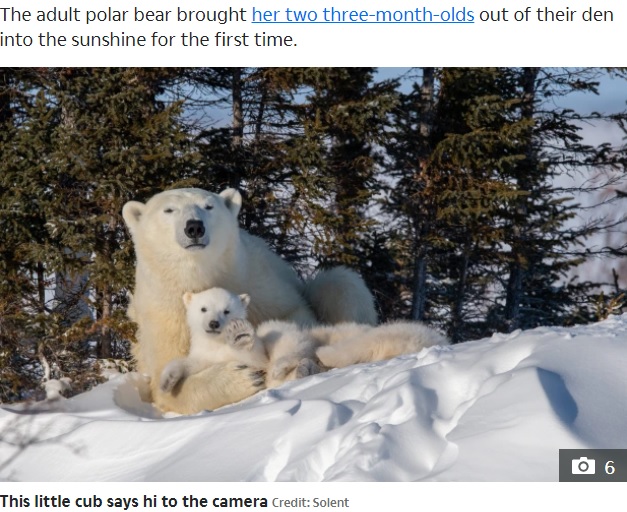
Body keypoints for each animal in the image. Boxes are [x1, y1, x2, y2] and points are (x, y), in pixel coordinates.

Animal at [123, 186, 378, 414]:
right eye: (169, 210)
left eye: (208, 206)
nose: (194, 227)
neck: (200, 276)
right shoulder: (164, 312)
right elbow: (166, 381)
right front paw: (242, 377)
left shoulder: (252, 277)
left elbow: (291, 314)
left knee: (340, 282)